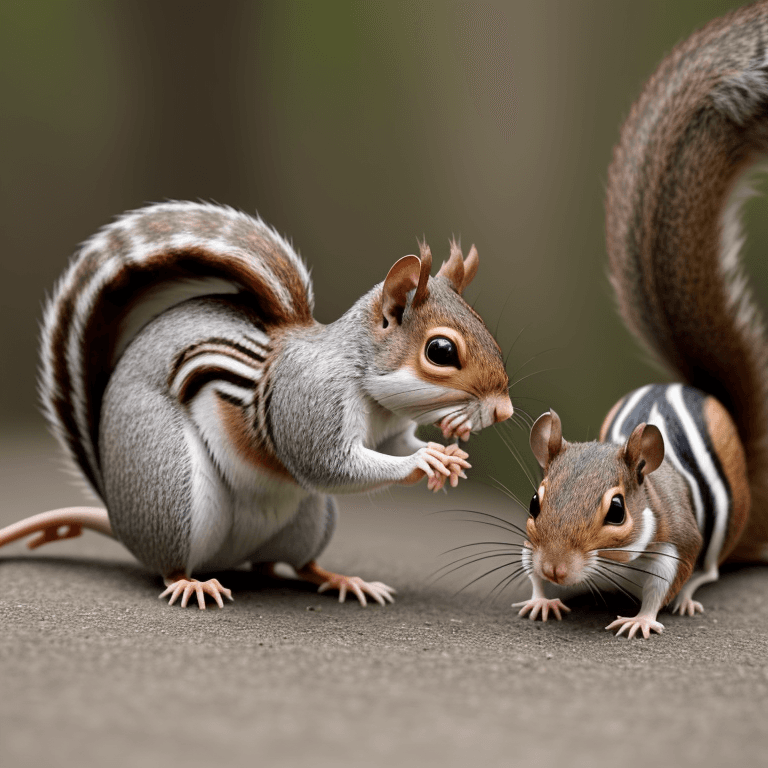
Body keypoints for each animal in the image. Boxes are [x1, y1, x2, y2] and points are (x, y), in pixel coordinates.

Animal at [0, 201, 513, 608]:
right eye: (441, 351)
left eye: (484, 325)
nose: (503, 411)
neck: (370, 389)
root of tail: (120, 519)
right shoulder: (308, 399)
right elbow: (329, 464)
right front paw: (426, 462)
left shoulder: (388, 430)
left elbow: (394, 446)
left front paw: (448, 455)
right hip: (174, 493)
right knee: (172, 562)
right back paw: (190, 583)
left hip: (311, 519)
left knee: (288, 565)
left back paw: (342, 579)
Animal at [513, 1, 768, 638]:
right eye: (534, 502)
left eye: (617, 510)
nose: (557, 568)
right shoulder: (528, 544)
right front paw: (541, 597)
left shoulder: (676, 542)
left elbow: (666, 582)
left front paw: (645, 617)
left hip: (721, 531)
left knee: (711, 567)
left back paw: (694, 594)